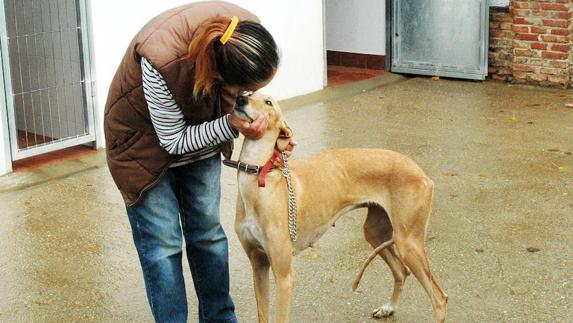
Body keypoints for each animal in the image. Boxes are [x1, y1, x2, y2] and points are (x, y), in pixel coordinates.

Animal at [228, 92, 446, 322]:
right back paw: (388, 308)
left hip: (408, 243)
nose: (240, 99)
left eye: (268, 102)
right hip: (376, 232)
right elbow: (262, 313)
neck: (259, 180)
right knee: (402, 271)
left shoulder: (284, 276)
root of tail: (421, 173)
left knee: (439, 298)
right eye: (250, 93)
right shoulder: (259, 265)